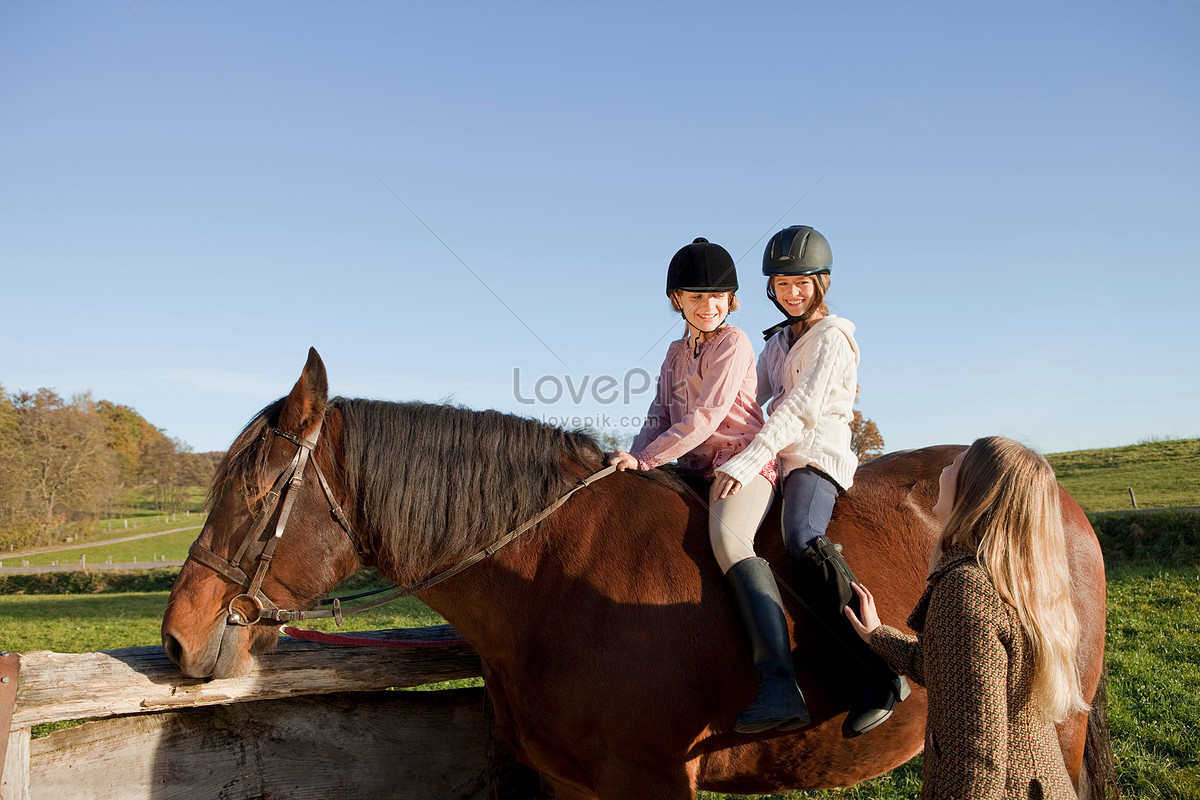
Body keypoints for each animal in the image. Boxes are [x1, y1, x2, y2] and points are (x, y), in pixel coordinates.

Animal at [159, 352, 1113, 800]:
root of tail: (1053, 490)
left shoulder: (653, 784)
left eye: (254, 492)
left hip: (1055, 722)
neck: (552, 578)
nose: (178, 637)